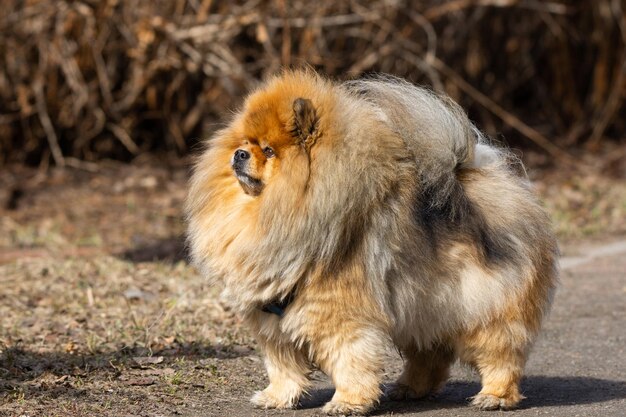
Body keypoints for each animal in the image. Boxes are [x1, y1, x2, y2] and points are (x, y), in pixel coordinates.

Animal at [184, 70, 556, 414]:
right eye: (245, 142)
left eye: (269, 151)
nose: (239, 154)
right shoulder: (273, 319)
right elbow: (282, 365)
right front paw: (277, 397)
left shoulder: (341, 313)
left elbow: (350, 361)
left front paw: (347, 402)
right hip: (426, 303)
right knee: (431, 353)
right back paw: (410, 388)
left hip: (482, 307)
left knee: (500, 351)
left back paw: (495, 395)